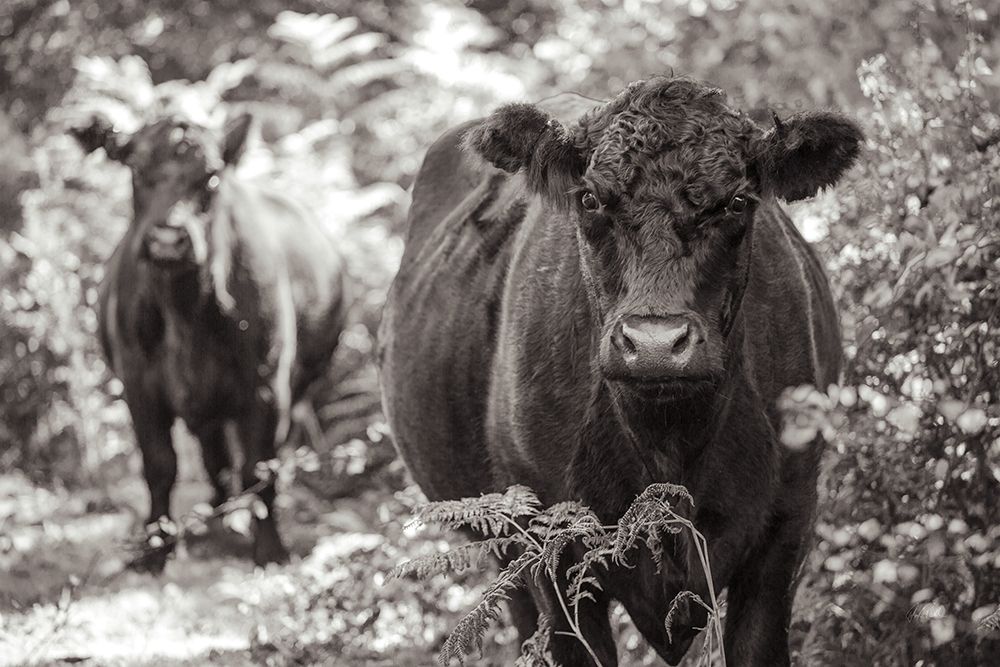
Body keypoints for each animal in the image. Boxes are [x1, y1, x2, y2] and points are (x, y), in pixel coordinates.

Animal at [71, 112, 348, 571]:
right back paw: (218, 515)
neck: (185, 310)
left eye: (212, 177)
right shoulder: (138, 384)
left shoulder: (266, 385)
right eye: (135, 169)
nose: (168, 239)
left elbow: (259, 466)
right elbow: (160, 465)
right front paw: (156, 547)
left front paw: (270, 548)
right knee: (213, 456)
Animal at [378, 76, 862, 666]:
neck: (668, 444)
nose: (655, 344)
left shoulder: (785, 527)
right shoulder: (549, 554)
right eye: (589, 199)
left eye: (737, 202)